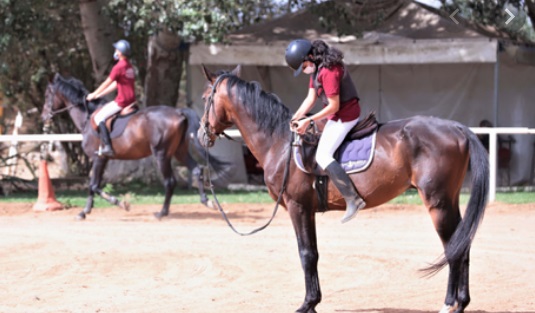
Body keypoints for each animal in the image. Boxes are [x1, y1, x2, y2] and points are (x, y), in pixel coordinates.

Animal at [43, 73, 231, 219]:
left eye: (48, 94)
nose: (43, 116)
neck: (87, 118)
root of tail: (178, 111)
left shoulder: (98, 158)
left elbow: (93, 185)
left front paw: (89, 210)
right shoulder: (103, 160)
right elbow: (95, 185)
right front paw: (110, 205)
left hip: (162, 155)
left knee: (170, 181)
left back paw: (162, 212)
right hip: (180, 151)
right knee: (197, 170)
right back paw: (207, 202)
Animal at [198, 64, 490, 310]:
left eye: (204, 98)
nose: (201, 134)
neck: (280, 143)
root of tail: (458, 128)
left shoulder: (297, 206)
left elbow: (306, 254)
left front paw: (307, 304)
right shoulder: (308, 210)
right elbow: (313, 253)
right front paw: (314, 302)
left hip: (437, 203)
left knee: (453, 248)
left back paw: (449, 304)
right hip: (449, 200)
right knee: (462, 244)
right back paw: (461, 303)